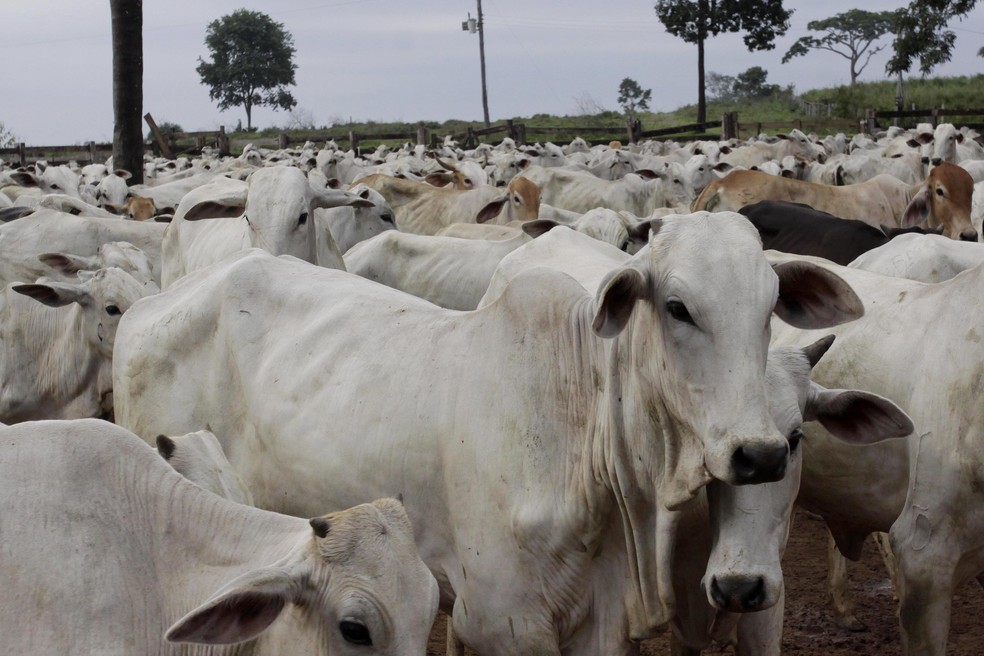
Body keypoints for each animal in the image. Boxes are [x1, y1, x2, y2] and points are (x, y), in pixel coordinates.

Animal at [115, 213, 864, 652]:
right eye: (678, 307)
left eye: (771, 306)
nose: (757, 453)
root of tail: (147, 305)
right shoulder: (503, 623)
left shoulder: (599, 624)